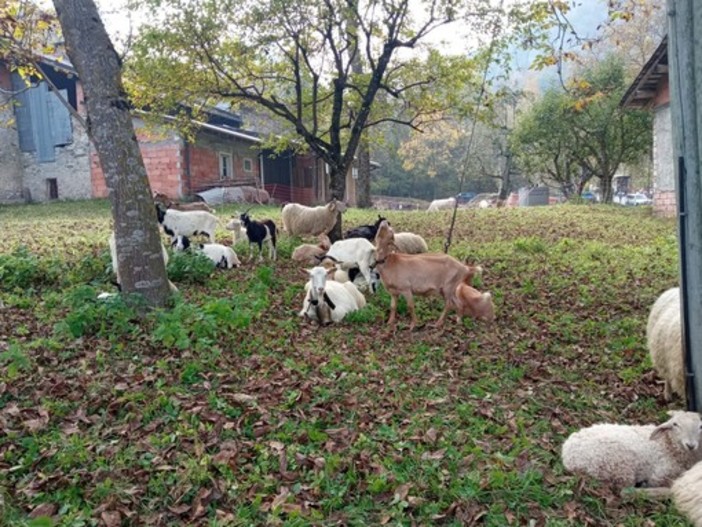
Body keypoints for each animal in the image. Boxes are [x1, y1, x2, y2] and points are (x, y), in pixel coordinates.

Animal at [561, 411, 702, 491]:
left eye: (700, 426)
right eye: (675, 424)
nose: (690, 445)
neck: (668, 444)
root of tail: (567, 454)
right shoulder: (660, 475)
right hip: (619, 466)